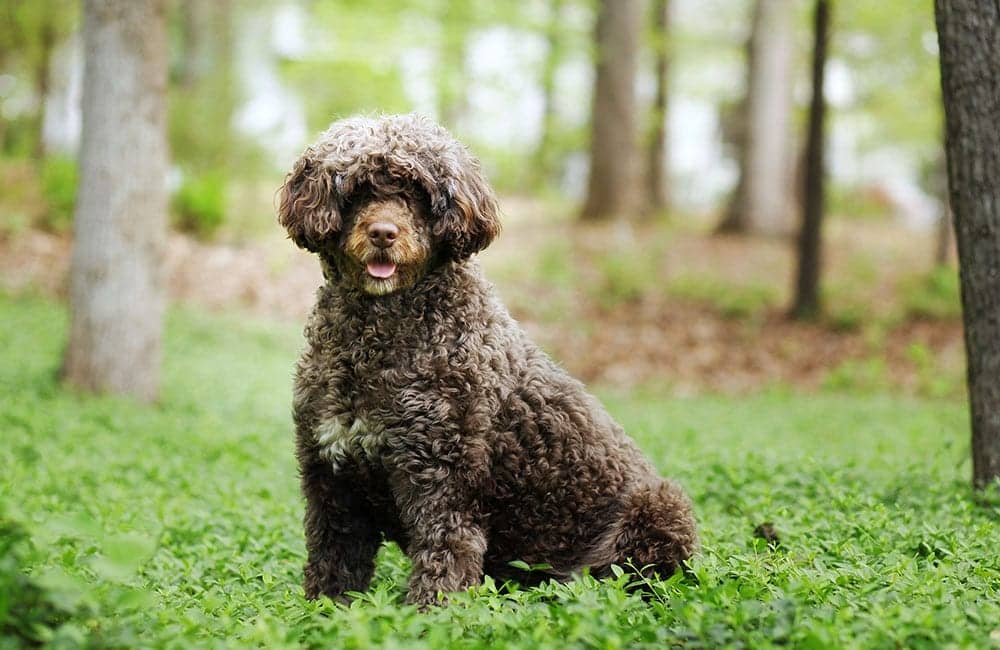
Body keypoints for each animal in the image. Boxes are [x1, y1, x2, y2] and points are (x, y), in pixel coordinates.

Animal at [274, 114, 696, 604]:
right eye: (358, 189)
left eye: (417, 192)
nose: (383, 234)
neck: (378, 334)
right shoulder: (332, 477)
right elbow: (334, 560)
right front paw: (323, 608)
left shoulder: (443, 480)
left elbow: (445, 556)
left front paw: (428, 613)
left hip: (659, 508)